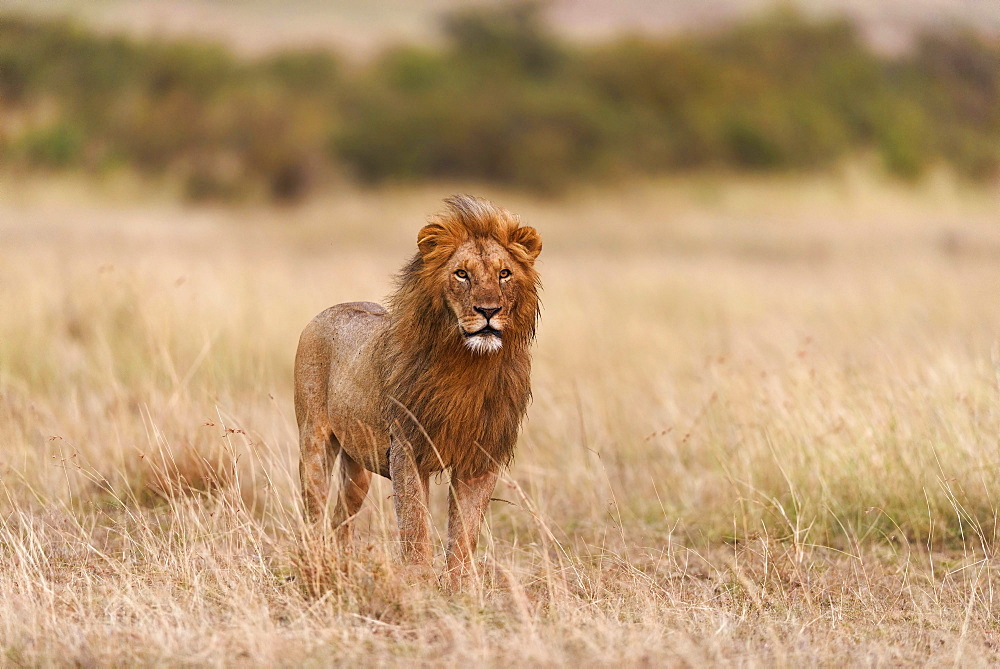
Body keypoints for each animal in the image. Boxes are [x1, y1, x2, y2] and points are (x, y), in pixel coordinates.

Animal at [292, 194, 544, 588]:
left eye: (505, 273)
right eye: (462, 274)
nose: (488, 311)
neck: (468, 365)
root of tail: (331, 309)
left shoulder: (480, 457)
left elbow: (465, 532)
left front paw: (462, 590)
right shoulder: (408, 448)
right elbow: (415, 524)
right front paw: (418, 583)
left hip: (357, 468)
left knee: (341, 519)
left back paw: (342, 566)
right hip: (314, 442)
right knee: (315, 512)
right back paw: (316, 564)